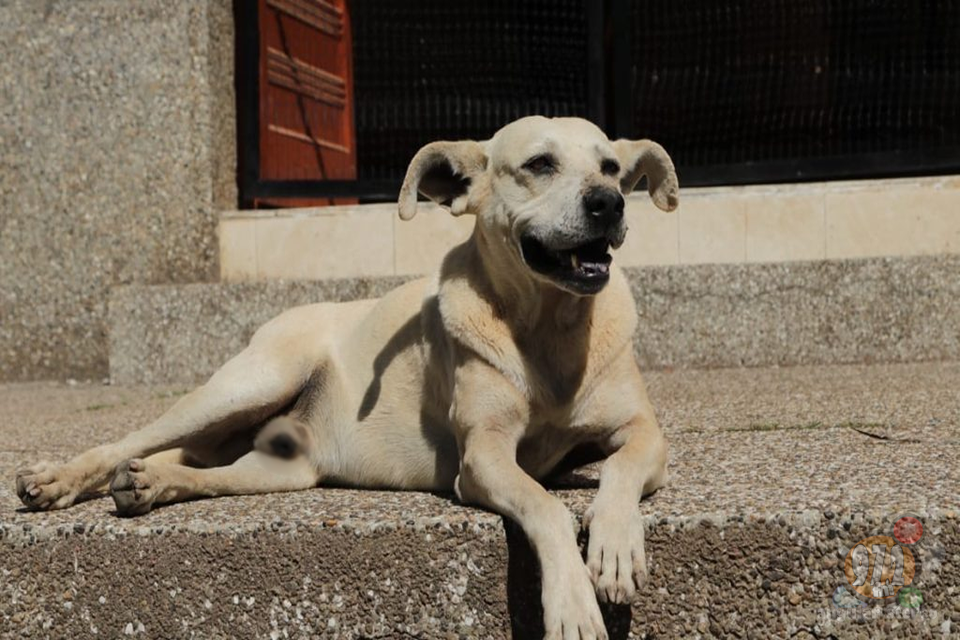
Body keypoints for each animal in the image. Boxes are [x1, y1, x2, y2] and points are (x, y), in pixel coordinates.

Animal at [15, 116, 676, 640]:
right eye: (540, 164)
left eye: (611, 167)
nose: (609, 202)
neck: (550, 329)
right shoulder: (483, 457)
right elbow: (545, 506)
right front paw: (573, 603)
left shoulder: (645, 432)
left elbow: (618, 469)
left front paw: (615, 546)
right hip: (248, 383)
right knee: (125, 441)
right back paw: (57, 480)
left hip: (284, 469)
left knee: (201, 470)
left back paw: (150, 482)